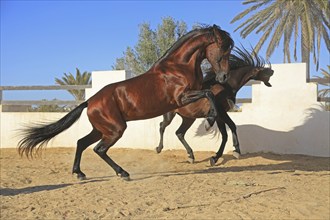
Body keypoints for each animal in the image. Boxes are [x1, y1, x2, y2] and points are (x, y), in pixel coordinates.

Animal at [18, 25, 235, 180]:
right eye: (223, 50)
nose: (224, 76)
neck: (178, 67)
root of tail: (90, 101)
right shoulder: (181, 98)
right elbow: (209, 94)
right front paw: (210, 120)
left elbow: (210, 94)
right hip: (115, 129)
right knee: (99, 149)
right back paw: (123, 173)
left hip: (102, 129)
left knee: (81, 143)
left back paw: (80, 173)